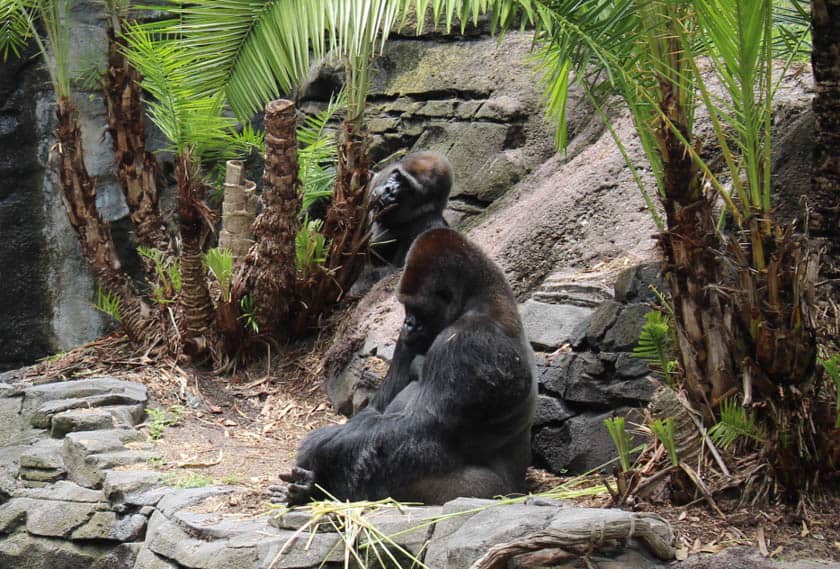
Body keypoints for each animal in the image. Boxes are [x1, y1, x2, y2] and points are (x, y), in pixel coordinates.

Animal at [276, 229, 540, 504]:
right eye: (406, 307)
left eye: (416, 307)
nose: (408, 323)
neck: (479, 300)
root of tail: (517, 488)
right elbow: (377, 408)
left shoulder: (471, 342)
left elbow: (420, 428)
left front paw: (319, 449)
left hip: (485, 493)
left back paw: (316, 486)